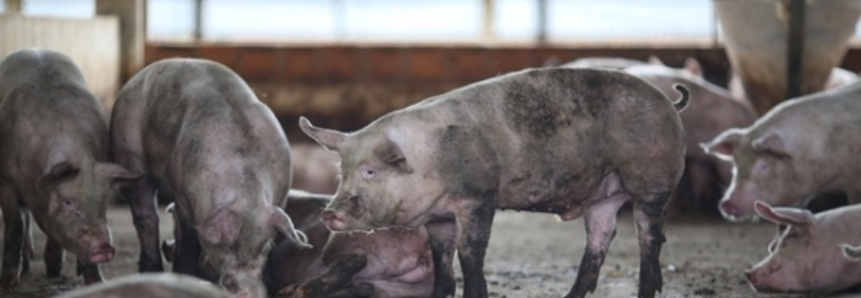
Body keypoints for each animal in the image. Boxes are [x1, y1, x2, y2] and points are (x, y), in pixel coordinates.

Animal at [0, 48, 141, 286]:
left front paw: (97, 282)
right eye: (67, 202)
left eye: (103, 201)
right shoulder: (7, 183)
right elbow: (15, 223)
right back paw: (27, 266)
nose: (104, 247)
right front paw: (9, 282)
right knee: (25, 219)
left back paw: (53, 270)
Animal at [108, 56, 310, 294]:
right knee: (146, 216)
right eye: (225, 245)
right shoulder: (184, 196)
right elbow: (188, 241)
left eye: (265, 246)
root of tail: (136, 77)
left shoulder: (281, 197)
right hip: (129, 152)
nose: (247, 291)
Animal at [298, 67, 688, 298]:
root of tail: (669, 102)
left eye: (371, 171)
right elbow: (442, 258)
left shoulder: (477, 198)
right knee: (601, 238)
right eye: (342, 172)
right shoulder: (438, 217)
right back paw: (570, 295)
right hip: (603, 196)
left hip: (651, 180)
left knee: (650, 239)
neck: (428, 162)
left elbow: (469, 253)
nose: (330, 213)